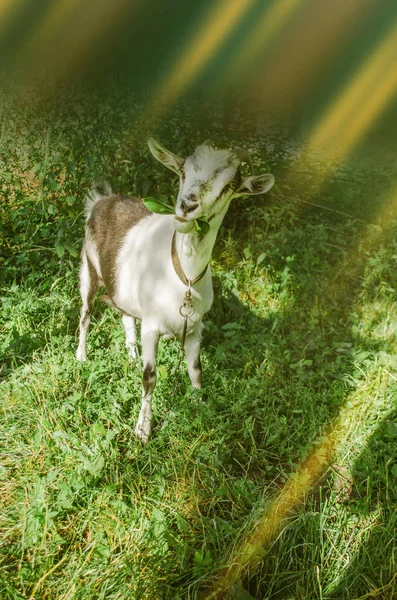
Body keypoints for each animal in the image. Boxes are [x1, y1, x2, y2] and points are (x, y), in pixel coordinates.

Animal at [76, 138, 274, 442]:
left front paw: (201, 406)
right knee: (85, 314)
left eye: (230, 185)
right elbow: (150, 377)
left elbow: (196, 371)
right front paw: (143, 430)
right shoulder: (151, 326)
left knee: (126, 316)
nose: (187, 206)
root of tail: (102, 199)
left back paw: (131, 354)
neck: (184, 280)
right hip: (88, 268)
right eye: (182, 171)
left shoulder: (194, 328)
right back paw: (82, 357)